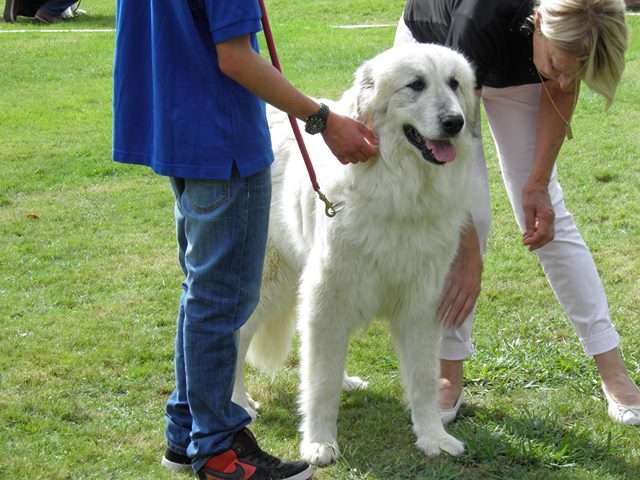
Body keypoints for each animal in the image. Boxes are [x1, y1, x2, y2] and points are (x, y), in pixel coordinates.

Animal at [232, 44, 478, 464]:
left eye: (454, 84)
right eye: (416, 85)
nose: (455, 122)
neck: (400, 192)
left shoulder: (421, 304)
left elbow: (424, 379)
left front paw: (432, 436)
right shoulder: (327, 296)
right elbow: (320, 383)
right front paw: (318, 442)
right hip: (266, 283)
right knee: (233, 338)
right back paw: (237, 403)